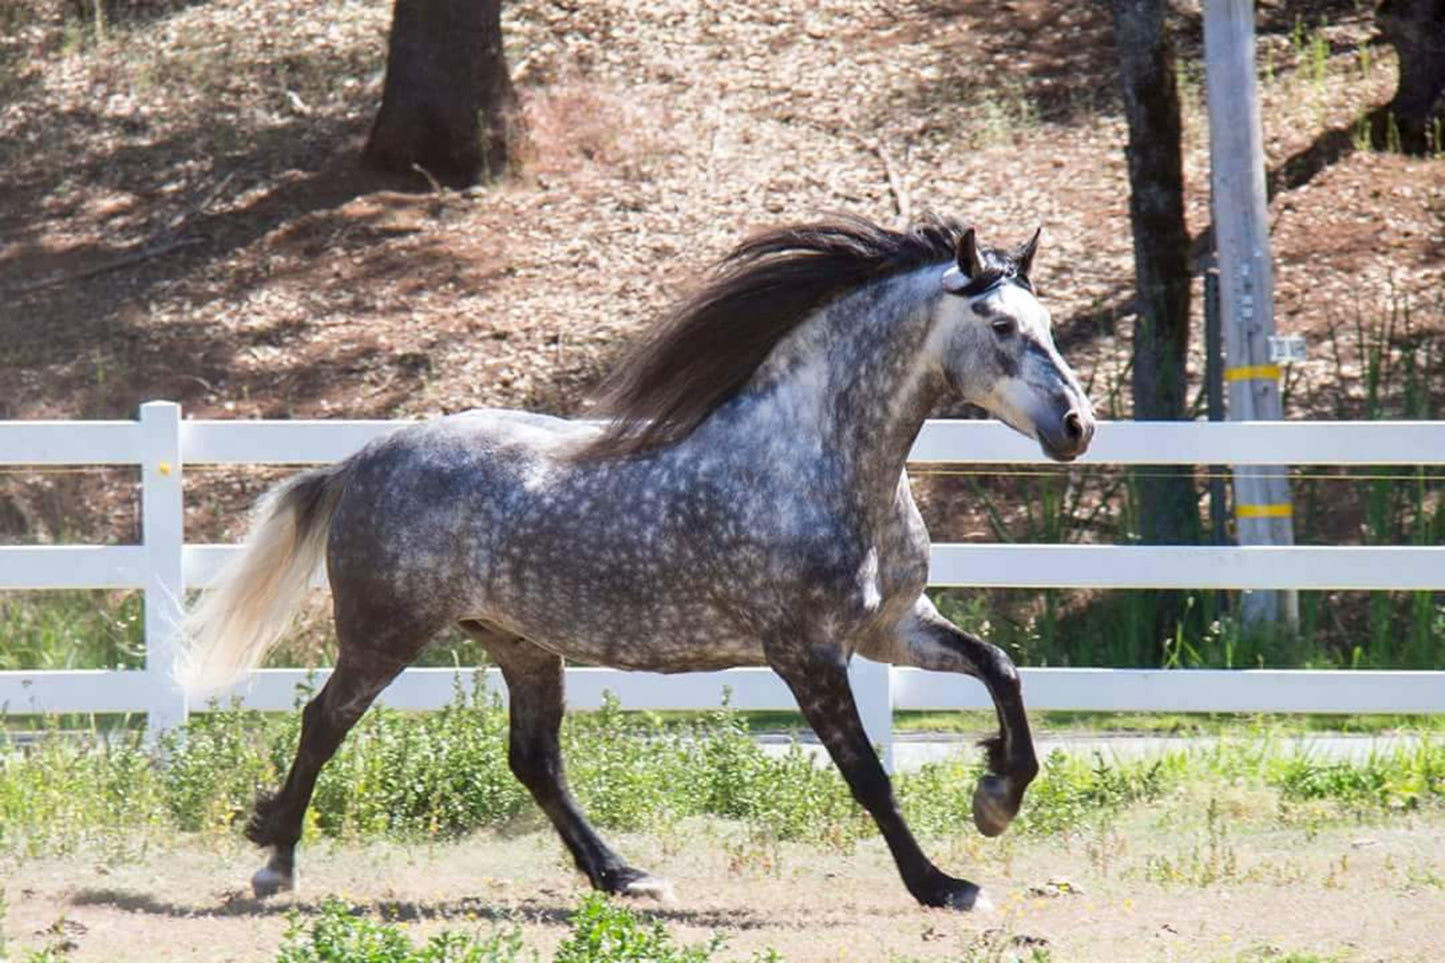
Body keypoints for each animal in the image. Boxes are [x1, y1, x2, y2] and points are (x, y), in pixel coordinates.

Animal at [179, 214, 1095, 911]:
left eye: (1047, 324)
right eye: (1001, 327)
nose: (1077, 426)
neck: (812, 462)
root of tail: (364, 457)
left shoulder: (892, 627)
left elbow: (1002, 667)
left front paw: (995, 798)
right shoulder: (805, 652)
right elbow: (867, 772)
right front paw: (942, 883)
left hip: (521, 644)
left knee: (533, 759)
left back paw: (622, 875)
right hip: (384, 633)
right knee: (323, 721)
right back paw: (273, 862)